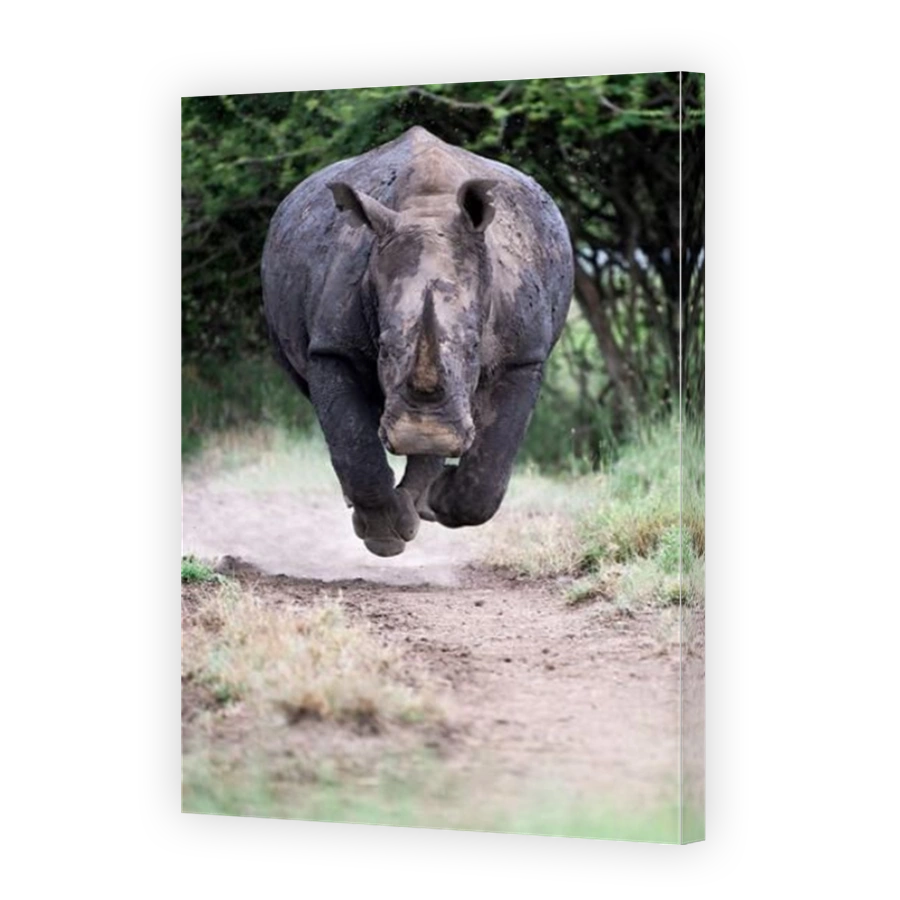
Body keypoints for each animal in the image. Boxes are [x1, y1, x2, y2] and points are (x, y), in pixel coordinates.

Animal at [262, 126, 573, 557]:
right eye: (385, 348)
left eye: (474, 348)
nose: (423, 433)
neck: (429, 207)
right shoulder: (331, 348)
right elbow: (352, 442)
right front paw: (383, 536)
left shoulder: (524, 355)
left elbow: (489, 472)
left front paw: (440, 498)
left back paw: (423, 501)